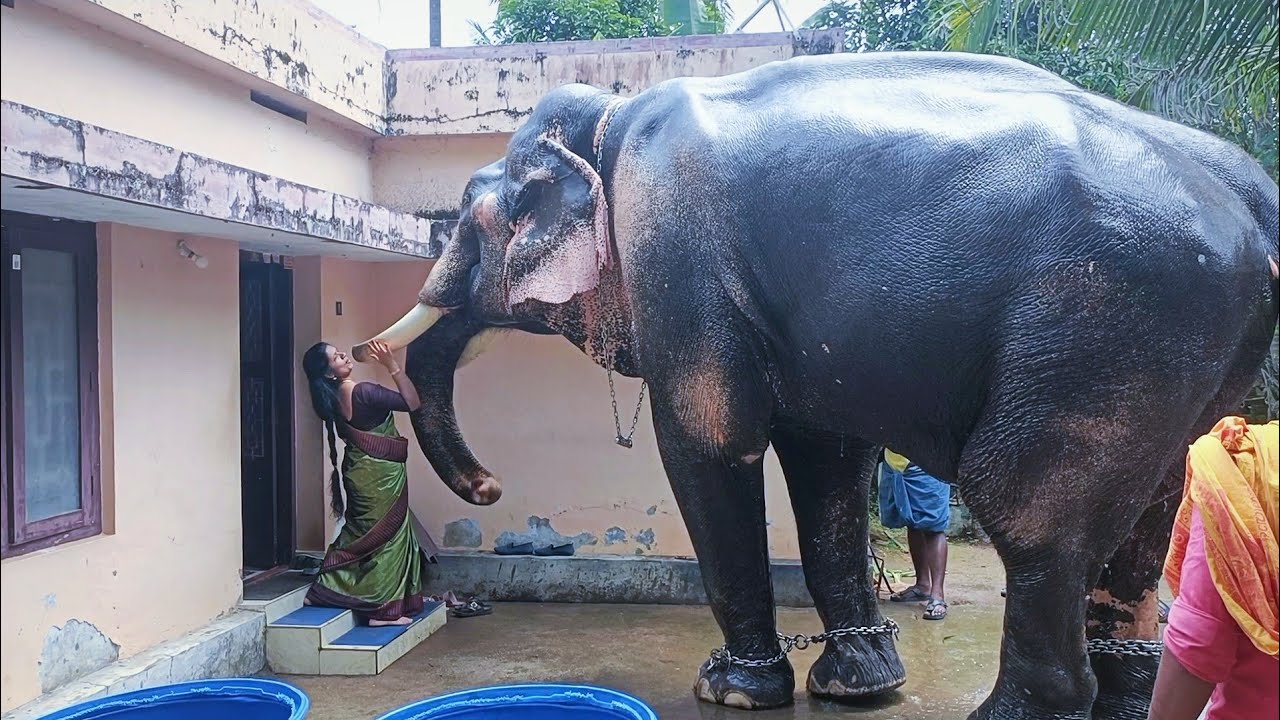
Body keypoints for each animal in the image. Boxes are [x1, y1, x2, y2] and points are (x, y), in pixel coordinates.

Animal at [356, 51, 1280, 719]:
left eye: (470, 222)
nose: (488, 486)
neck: (610, 120)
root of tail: (1254, 204)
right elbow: (827, 458)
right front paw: (858, 687)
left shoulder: (679, 259)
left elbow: (710, 444)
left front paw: (729, 691)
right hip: (1175, 354)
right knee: (1151, 510)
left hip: (1105, 323)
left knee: (1026, 508)